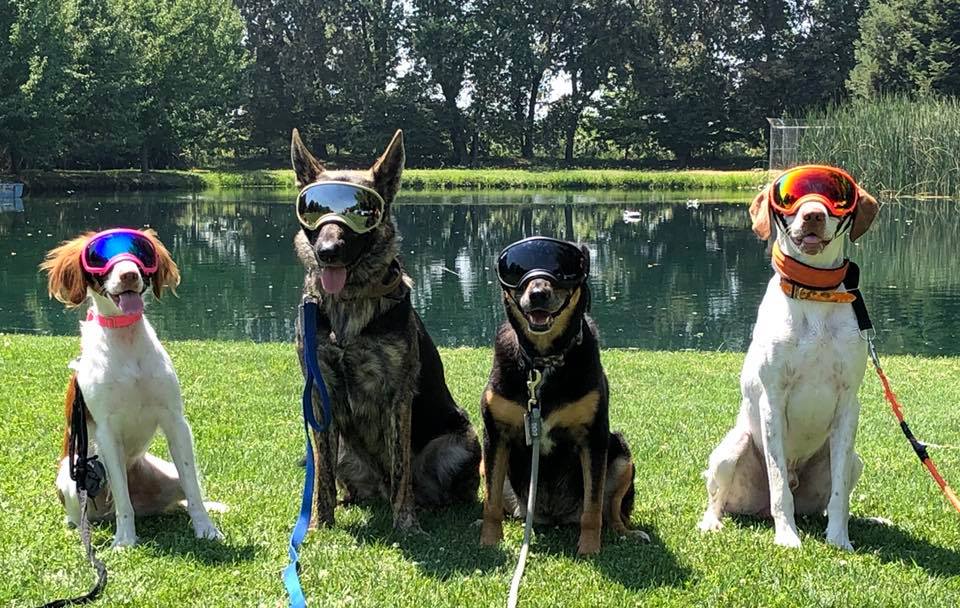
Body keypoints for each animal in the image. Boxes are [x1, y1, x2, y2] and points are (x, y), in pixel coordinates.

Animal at [41, 232, 223, 548]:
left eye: (141, 252)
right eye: (98, 256)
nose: (129, 274)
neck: (125, 339)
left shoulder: (175, 420)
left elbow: (193, 487)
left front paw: (206, 529)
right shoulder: (107, 432)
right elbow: (122, 499)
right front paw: (125, 540)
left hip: (167, 473)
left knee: (182, 495)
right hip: (71, 474)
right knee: (89, 514)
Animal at [286, 129, 478, 532]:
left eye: (362, 212)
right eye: (313, 208)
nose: (327, 251)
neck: (349, 302)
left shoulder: (397, 396)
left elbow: (402, 466)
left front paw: (405, 524)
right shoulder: (320, 394)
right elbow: (322, 474)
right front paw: (319, 523)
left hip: (461, 443)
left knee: (426, 486)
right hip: (345, 449)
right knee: (344, 477)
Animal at [476, 239, 640, 556]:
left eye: (564, 267)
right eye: (516, 268)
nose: (538, 293)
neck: (542, 362)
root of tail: (552, 518)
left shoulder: (594, 437)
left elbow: (593, 507)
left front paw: (589, 550)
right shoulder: (495, 434)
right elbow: (490, 503)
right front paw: (489, 543)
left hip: (622, 455)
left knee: (611, 510)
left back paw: (627, 533)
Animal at [696, 173, 876, 548]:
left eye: (837, 196)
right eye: (790, 197)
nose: (813, 215)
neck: (815, 295)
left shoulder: (848, 403)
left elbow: (840, 495)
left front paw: (840, 539)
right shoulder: (773, 400)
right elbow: (779, 484)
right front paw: (787, 537)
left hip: (856, 461)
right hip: (731, 450)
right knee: (718, 496)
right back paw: (711, 522)